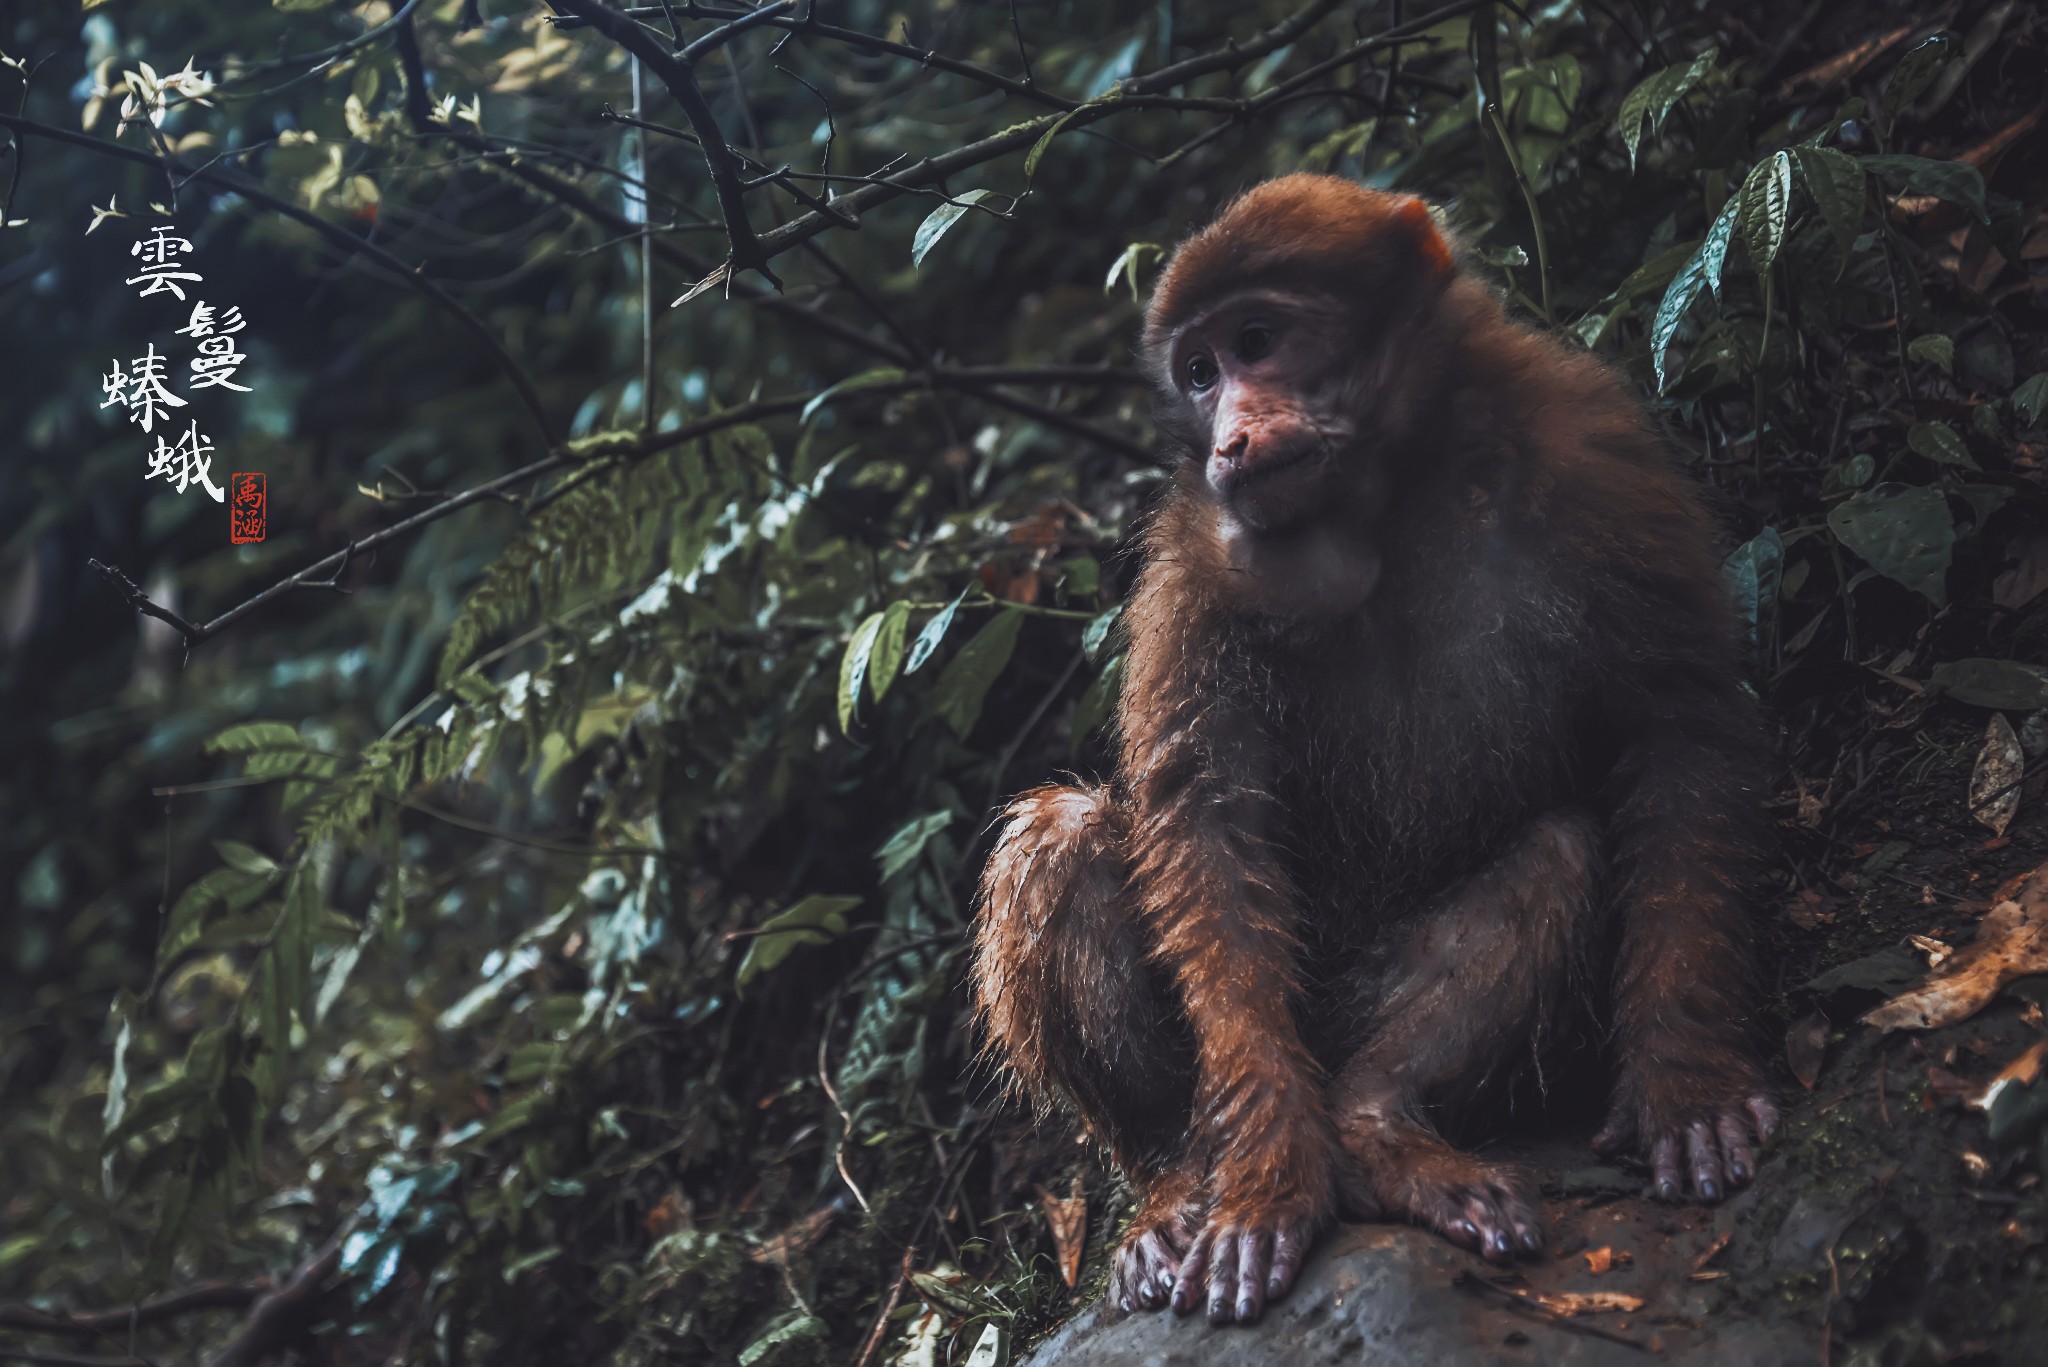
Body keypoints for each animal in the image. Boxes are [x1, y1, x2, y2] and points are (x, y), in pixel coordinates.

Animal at [966, 176, 1785, 1328]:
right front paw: (1269, 1173)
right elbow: (1207, 829)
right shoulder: (1198, 557)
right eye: (1198, 372)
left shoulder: (1591, 438)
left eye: (1256, 341)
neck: (1388, 496)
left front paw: (1685, 1071)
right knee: (1060, 837)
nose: (1227, 435)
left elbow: (1678, 722)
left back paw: (1374, 1119)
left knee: (1558, 851)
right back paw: (1180, 1180)